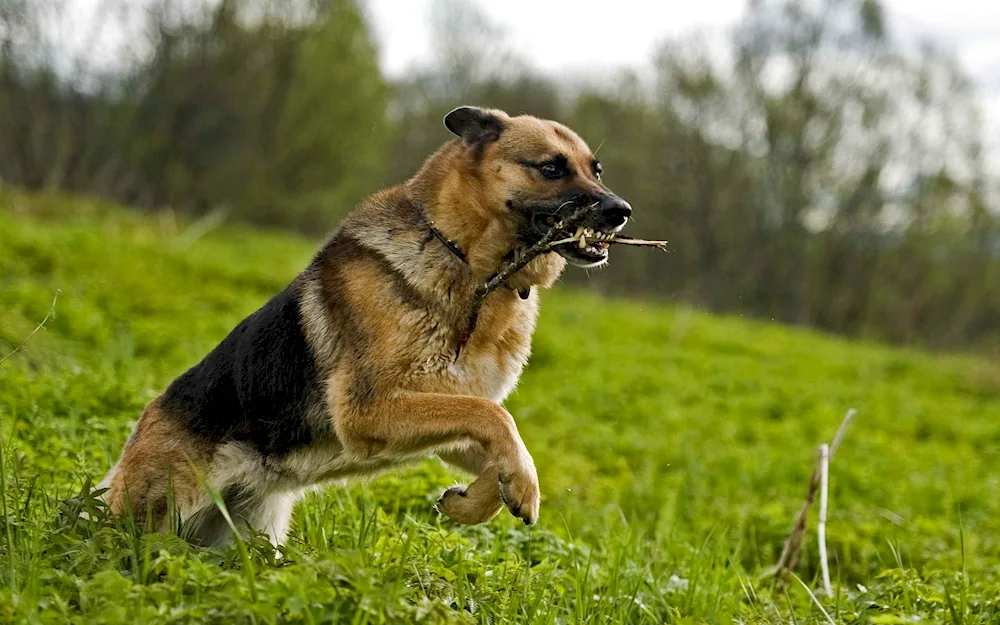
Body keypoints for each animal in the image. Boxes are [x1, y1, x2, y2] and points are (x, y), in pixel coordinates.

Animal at [97, 105, 628, 544]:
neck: (471, 269)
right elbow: (497, 419)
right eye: (551, 168)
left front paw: (482, 499)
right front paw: (516, 487)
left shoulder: (444, 412)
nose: (621, 211)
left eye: (596, 169)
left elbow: (499, 441)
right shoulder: (369, 410)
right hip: (152, 516)